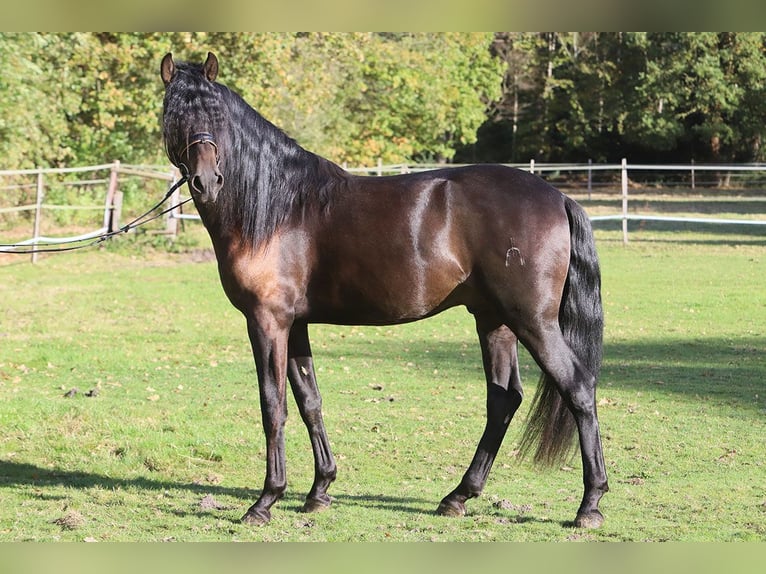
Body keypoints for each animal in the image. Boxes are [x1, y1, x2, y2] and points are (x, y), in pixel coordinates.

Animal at [160, 52, 608, 529]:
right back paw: (458, 496)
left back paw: (589, 504)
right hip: (494, 321)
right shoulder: (294, 324)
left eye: (216, 116)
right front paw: (320, 490)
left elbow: (272, 405)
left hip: (533, 322)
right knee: (503, 401)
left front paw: (266, 500)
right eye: (175, 115)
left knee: (578, 389)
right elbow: (309, 401)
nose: (207, 181)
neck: (277, 208)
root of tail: (558, 197)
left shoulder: (267, 321)